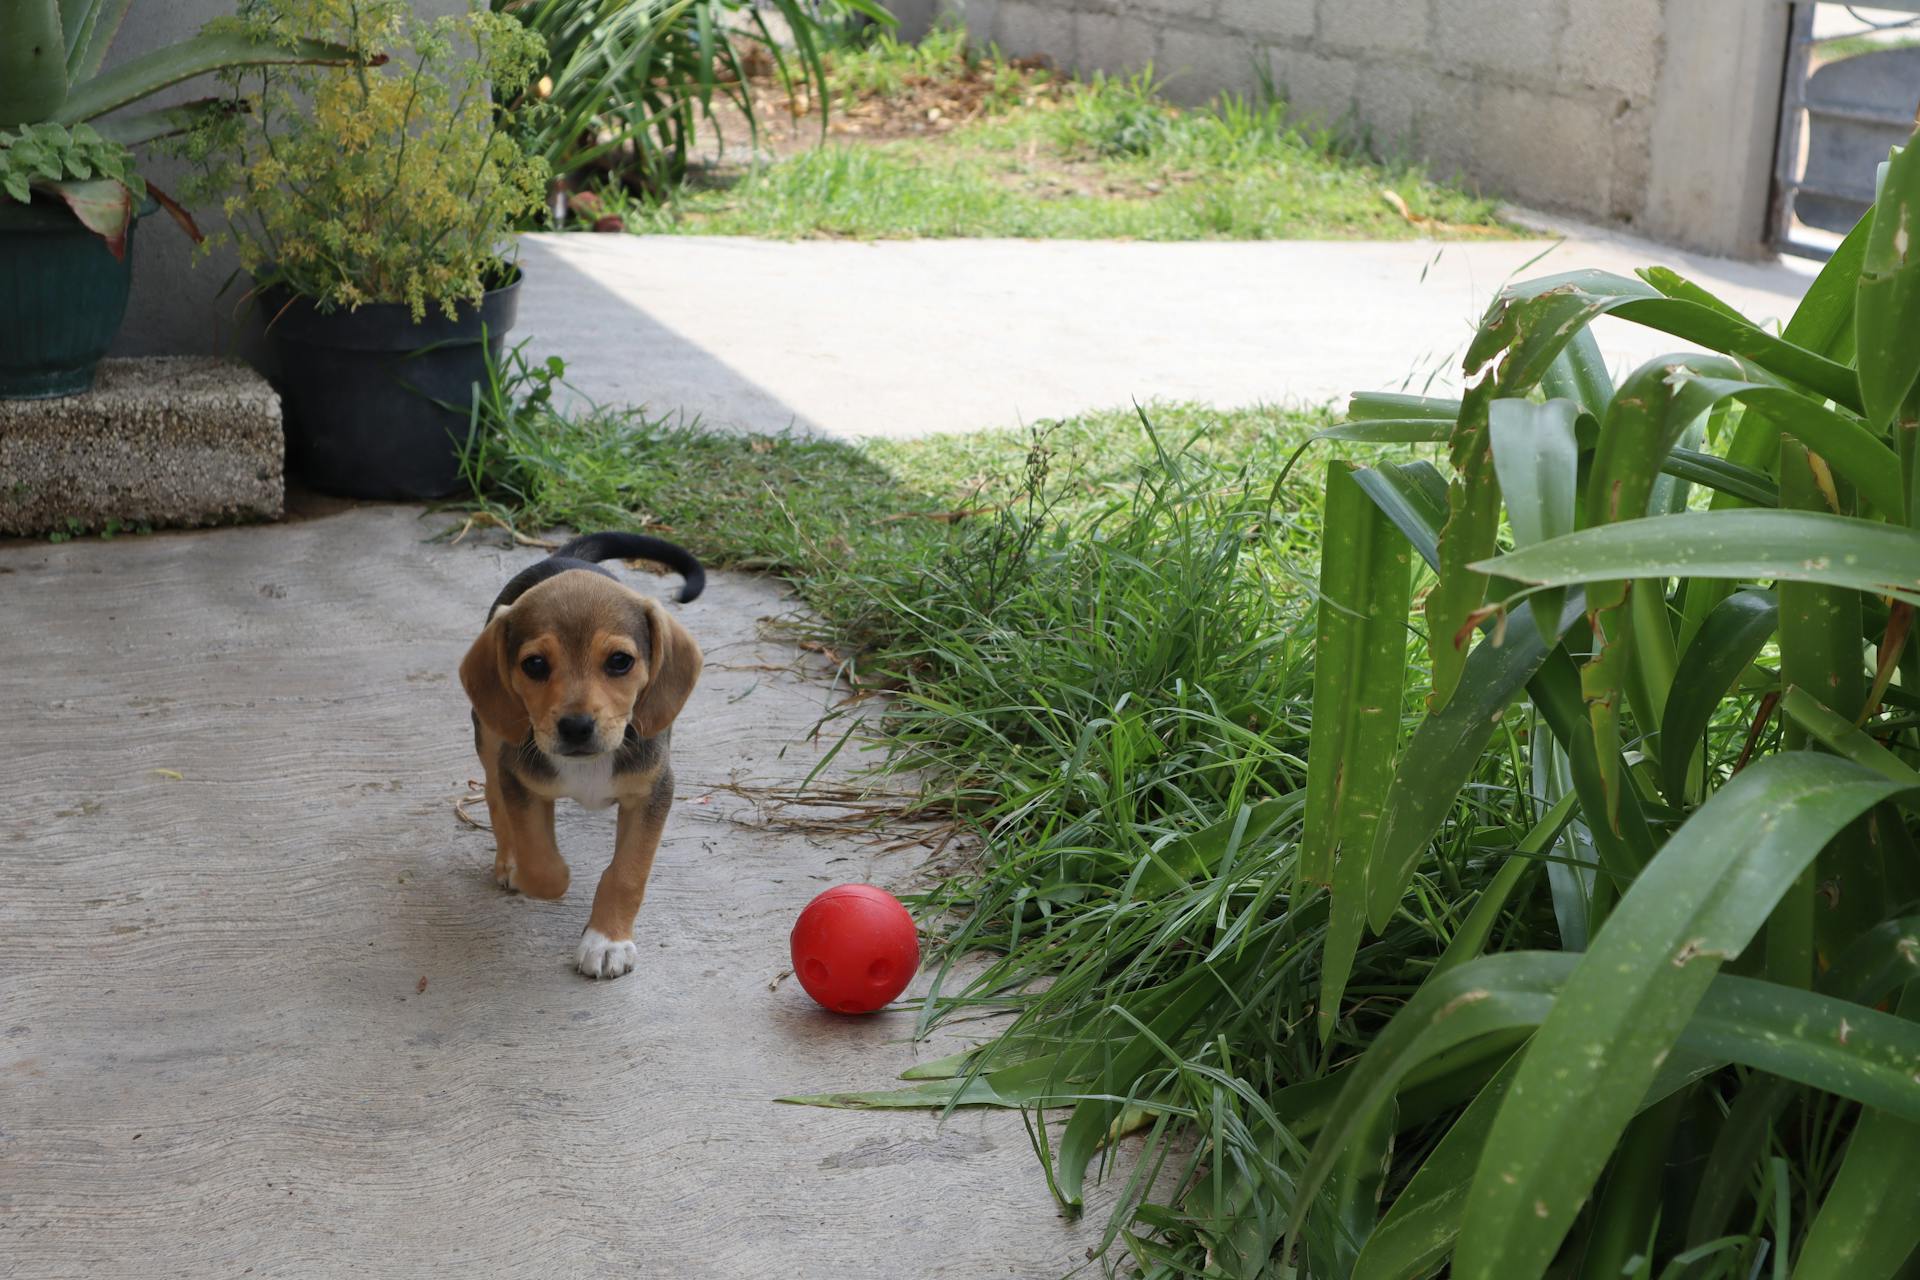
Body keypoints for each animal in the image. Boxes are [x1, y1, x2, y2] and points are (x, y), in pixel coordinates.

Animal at [458, 533, 706, 982]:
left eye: (620, 661)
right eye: (534, 664)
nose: (575, 727)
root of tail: (564, 556)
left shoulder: (652, 791)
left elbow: (627, 873)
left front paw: (607, 941)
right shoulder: (519, 779)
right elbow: (542, 865)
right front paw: (538, 872)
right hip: (489, 736)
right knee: (493, 796)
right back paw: (508, 859)